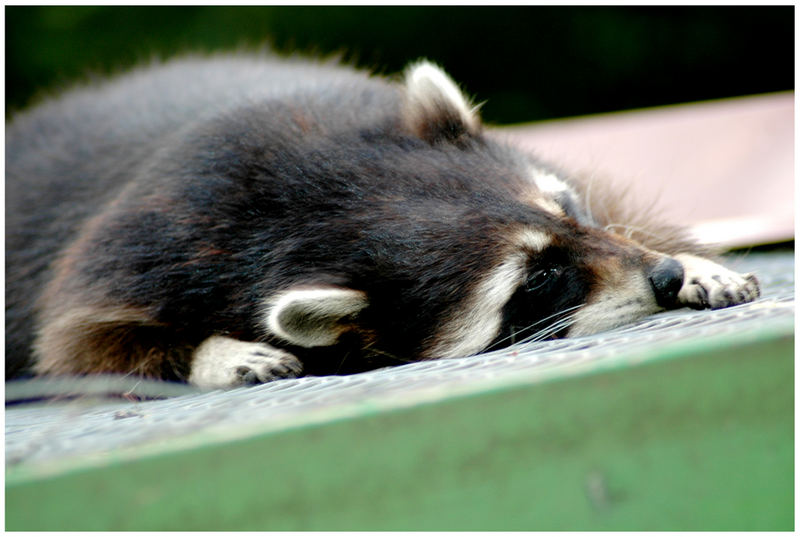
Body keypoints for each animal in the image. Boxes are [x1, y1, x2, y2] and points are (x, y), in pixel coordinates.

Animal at [6, 53, 760, 386]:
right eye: (541, 278)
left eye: (569, 210)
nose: (663, 277)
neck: (321, 184)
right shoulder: (153, 237)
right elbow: (78, 343)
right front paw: (208, 349)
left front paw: (690, 260)